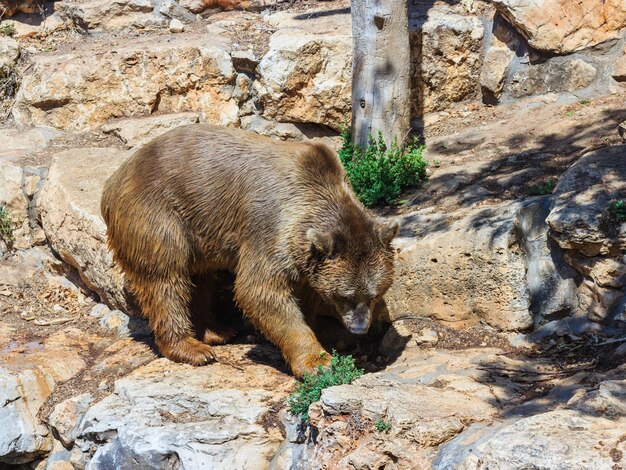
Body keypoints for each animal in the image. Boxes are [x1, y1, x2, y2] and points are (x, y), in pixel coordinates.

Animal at [100, 125, 398, 378]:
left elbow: (304, 293)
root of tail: (114, 180)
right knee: (165, 279)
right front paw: (318, 362)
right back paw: (192, 347)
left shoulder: (305, 256)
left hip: (199, 229)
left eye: (374, 294)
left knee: (199, 278)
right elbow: (259, 291)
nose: (360, 327)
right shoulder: (269, 226)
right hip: (158, 215)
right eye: (345, 295)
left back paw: (216, 331)